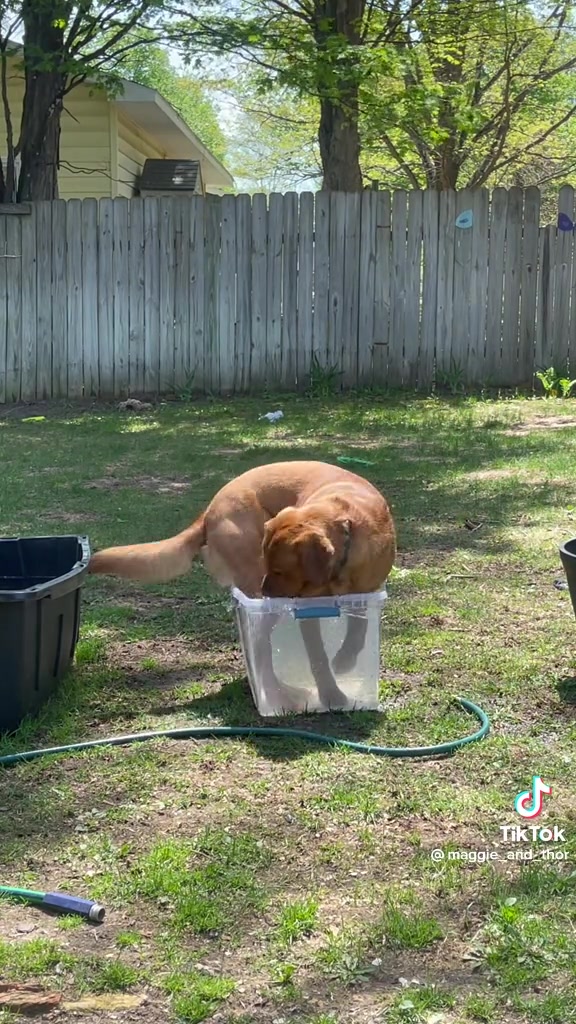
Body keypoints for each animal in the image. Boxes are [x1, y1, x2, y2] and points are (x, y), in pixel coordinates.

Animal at [89, 461, 396, 709]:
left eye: (279, 569)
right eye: (271, 565)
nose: (266, 593)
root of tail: (208, 512)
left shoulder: (367, 589)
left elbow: (359, 627)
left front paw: (346, 659)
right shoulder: (308, 610)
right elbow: (318, 658)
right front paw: (332, 696)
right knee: (261, 653)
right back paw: (282, 697)